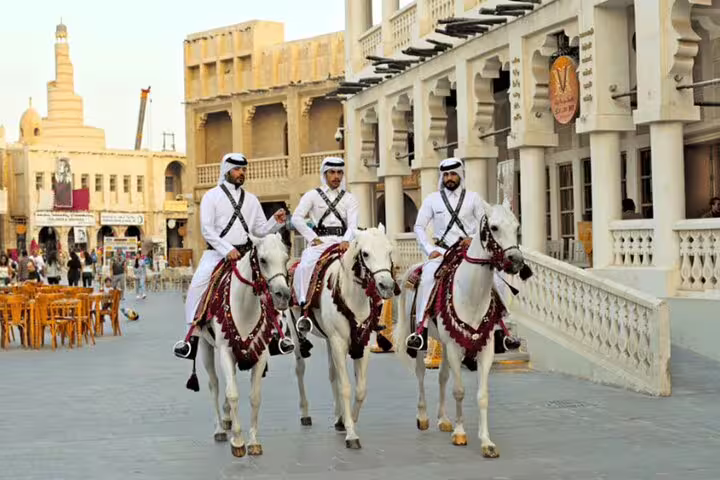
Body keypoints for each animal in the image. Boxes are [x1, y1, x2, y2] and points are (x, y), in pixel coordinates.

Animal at [197, 233, 292, 458]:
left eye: (286, 259)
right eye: (263, 260)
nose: (283, 295)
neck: (245, 306)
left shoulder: (260, 354)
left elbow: (254, 396)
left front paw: (254, 441)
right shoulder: (225, 352)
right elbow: (232, 394)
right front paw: (238, 441)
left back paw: (227, 419)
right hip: (205, 346)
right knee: (214, 385)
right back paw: (220, 429)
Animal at [287, 225, 397, 449]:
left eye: (389, 251)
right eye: (365, 253)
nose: (387, 286)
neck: (352, 297)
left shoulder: (361, 344)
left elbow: (360, 389)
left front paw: (348, 420)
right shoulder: (338, 342)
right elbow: (346, 386)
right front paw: (351, 434)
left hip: (330, 340)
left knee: (332, 374)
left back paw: (338, 416)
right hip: (296, 332)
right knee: (300, 369)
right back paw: (305, 413)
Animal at [394, 200, 525, 458]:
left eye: (516, 226)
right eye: (494, 227)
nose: (516, 260)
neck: (471, 293)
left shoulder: (486, 348)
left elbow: (481, 395)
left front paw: (486, 442)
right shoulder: (455, 349)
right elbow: (459, 390)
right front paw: (460, 433)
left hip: (445, 344)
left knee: (442, 377)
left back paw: (444, 419)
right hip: (424, 342)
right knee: (421, 375)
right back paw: (423, 417)